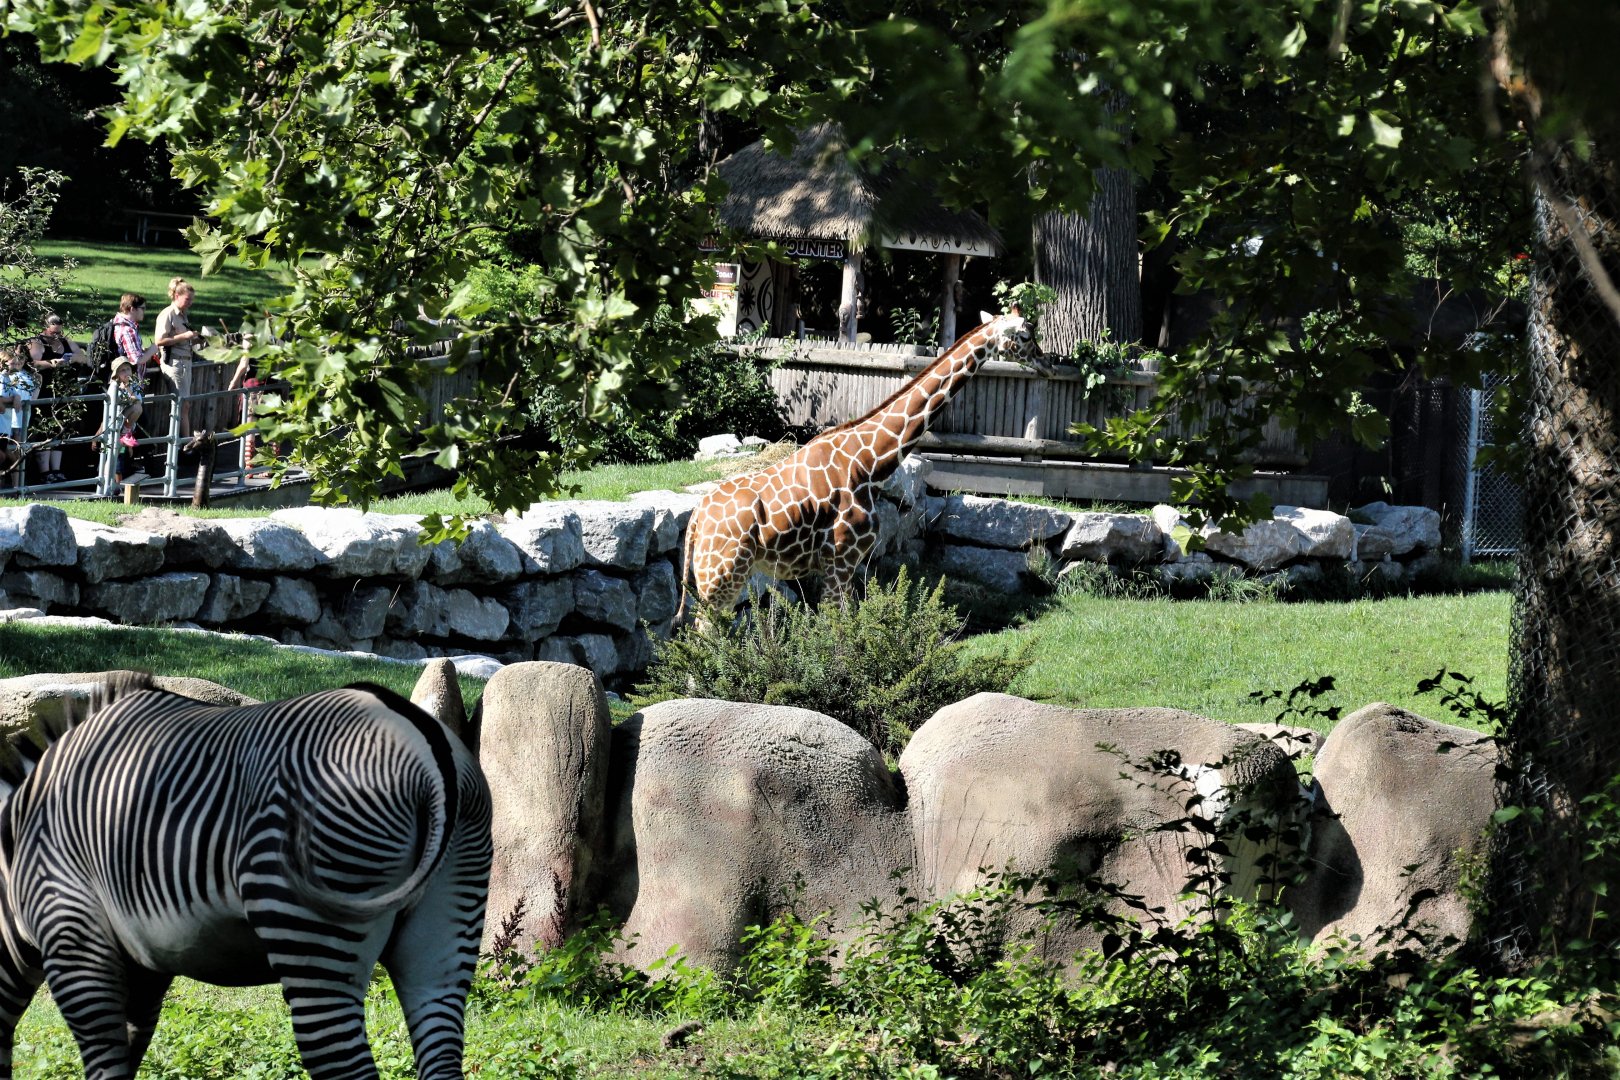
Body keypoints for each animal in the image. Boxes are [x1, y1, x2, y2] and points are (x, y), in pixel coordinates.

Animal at [0, 672, 493, 1079]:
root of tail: (430, 750)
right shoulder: (144, 964)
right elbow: (130, 1047)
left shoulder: (75, 940)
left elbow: (105, 1059)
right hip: (449, 929)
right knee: (441, 1051)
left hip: (311, 927)